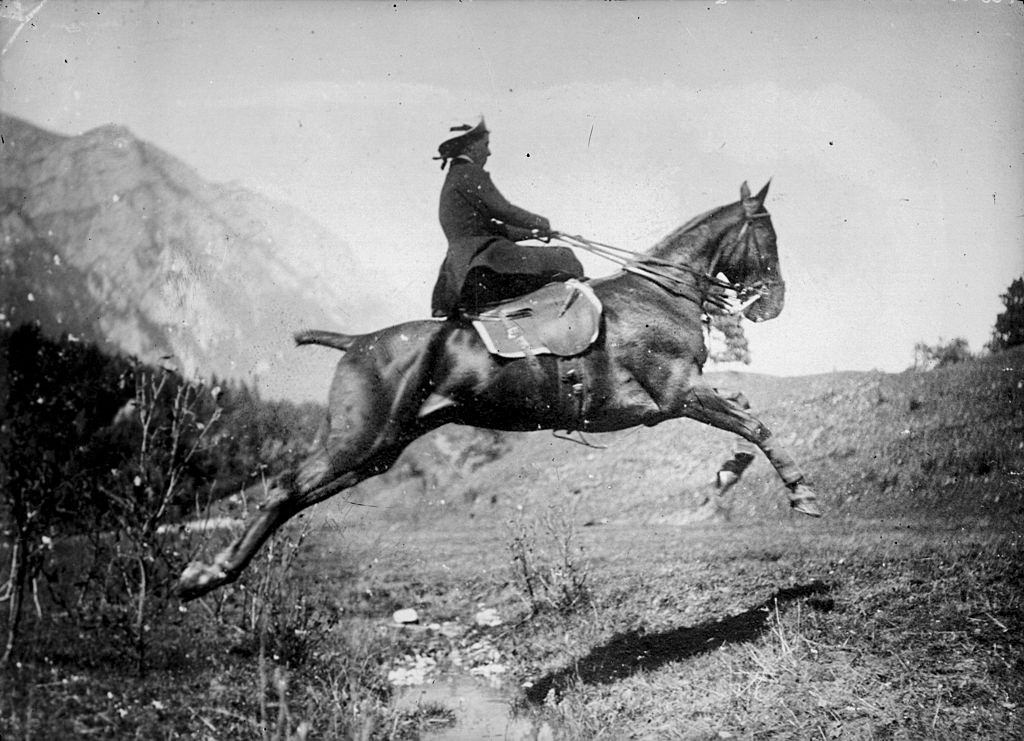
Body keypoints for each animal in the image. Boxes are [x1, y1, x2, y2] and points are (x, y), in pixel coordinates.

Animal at [175, 180, 821, 601]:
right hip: (358, 440)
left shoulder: (679, 397)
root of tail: (357, 341)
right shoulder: (676, 394)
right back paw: (208, 573)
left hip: (376, 451)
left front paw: (735, 470)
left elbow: (744, 416)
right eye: (767, 232)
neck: (656, 295)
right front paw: (800, 492)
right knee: (285, 490)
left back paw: (212, 574)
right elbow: (752, 422)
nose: (774, 303)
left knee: (297, 497)